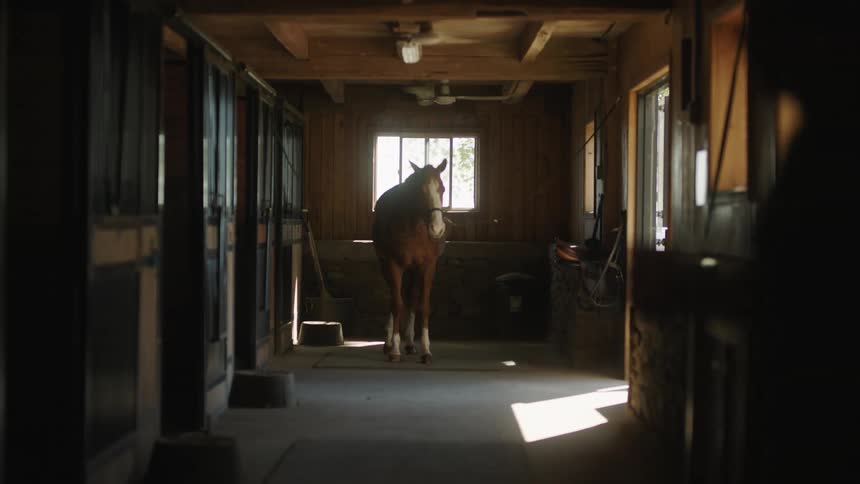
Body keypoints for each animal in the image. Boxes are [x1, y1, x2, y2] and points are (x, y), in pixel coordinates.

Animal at [372, 158, 448, 364]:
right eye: (420, 190)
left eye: (442, 189)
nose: (437, 229)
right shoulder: (393, 265)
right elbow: (397, 304)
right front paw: (394, 349)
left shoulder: (428, 266)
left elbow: (423, 304)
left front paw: (426, 350)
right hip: (384, 266)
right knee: (394, 298)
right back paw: (389, 343)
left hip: (414, 270)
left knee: (412, 298)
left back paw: (410, 343)